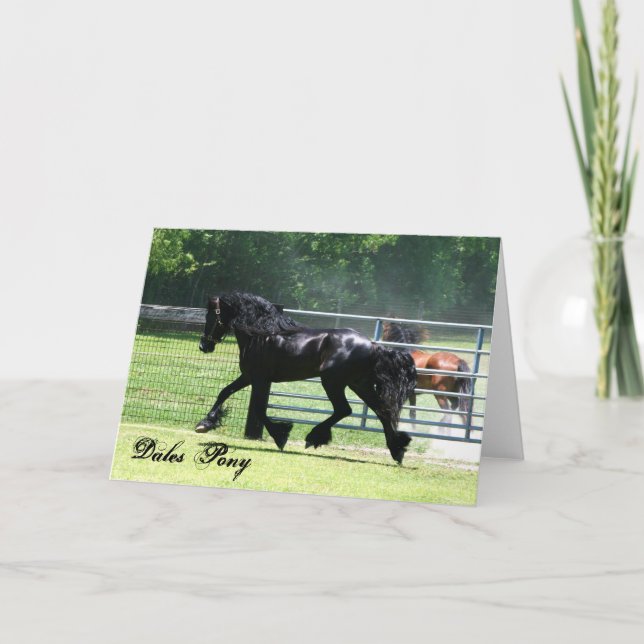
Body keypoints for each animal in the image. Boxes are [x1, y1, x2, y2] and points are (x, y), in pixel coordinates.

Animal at [196, 292, 417, 464]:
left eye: (212, 315)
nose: (203, 346)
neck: (262, 336)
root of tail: (373, 345)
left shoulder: (260, 379)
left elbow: (259, 409)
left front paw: (280, 436)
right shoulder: (248, 376)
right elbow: (224, 392)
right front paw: (205, 423)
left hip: (333, 382)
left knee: (344, 410)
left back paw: (313, 437)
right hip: (359, 384)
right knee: (382, 411)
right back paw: (397, 450)